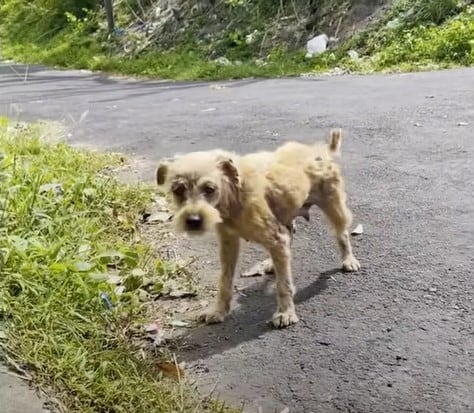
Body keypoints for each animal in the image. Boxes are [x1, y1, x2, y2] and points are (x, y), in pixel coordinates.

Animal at [155, 129, 360, 328]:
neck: (234, 194)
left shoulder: (275, 237)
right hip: (285, 214)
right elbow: (224, 280)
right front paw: (219, 310)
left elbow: (283, 284)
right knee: (289, 237)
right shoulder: (228, 243)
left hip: (334, 206)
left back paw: (349, 259)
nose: (193, 220)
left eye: (210, 188)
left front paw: (286, 313)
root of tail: (321, 149)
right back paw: (271, 263)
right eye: (178, 190)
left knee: (341, 233)